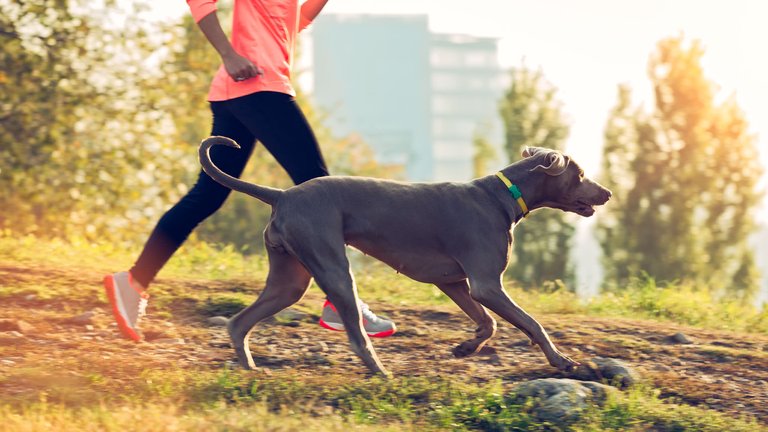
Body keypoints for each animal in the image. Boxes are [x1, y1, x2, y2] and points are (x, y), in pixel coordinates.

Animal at [198, 137, 612, 376]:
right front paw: (561, 361)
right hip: (332, 267)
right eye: (580, 173)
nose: (607, 193)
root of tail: (281, 195)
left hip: (289, 278)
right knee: (357, 336)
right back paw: (382, 373)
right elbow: (532, 323)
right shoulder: (486, 284)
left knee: (239, 322)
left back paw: (249, 367)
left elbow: (488, 323)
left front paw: (465, 348)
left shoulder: (455, 282)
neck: (501, 196)